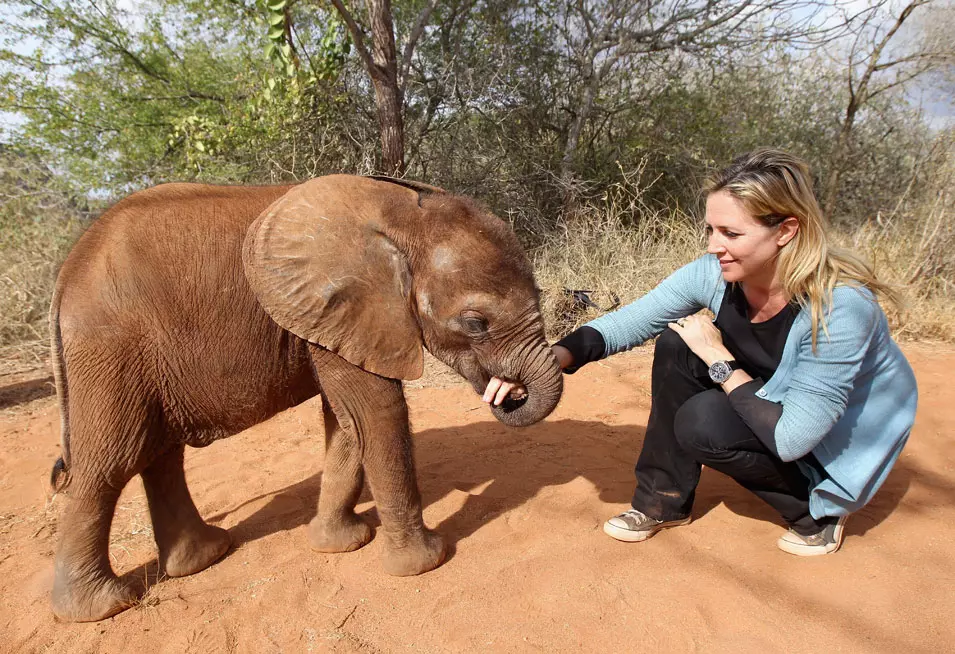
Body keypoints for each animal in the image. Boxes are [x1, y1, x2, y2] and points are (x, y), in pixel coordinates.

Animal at [50, 176, 560, 624]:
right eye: (475, 323)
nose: (505, 391)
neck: (404, 217)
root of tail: (66, 274)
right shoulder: (350, 307)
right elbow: (376, 413)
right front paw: (425, 563)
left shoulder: (334, 319)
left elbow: (347, 422)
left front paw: (340, 544)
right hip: (110, 350)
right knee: (110, 463)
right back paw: (100, 609)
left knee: (159, 456)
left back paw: (204, 557)